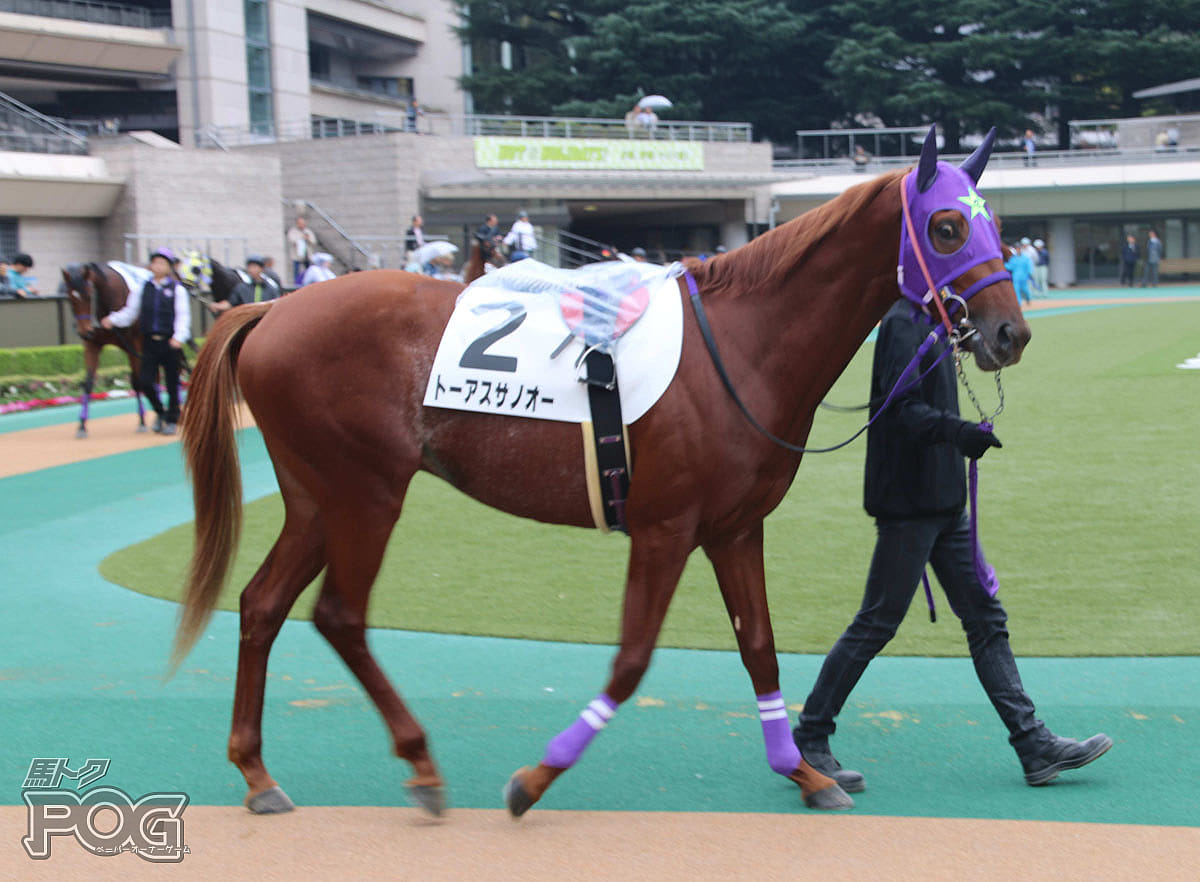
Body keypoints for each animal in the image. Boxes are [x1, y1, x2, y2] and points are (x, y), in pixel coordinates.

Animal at [175, 132, 1032, 820]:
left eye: (995, 223)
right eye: (947, 226)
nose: (1010, 334)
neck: (742, 344)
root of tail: (274, 309)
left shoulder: (733, 528)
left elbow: (759, 645)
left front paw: (804, 772)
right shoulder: (663, 529)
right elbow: (631, 659)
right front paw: (537, 776)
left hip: (316, 498)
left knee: (262, 604)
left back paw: (257, 773)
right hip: (366, 495)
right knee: (340, 616)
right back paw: (417, 760)